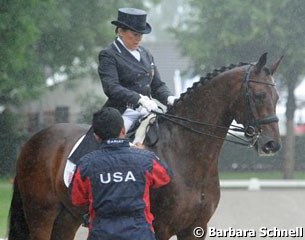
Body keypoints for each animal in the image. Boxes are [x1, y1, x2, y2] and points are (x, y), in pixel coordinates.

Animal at [8, 53, 282, 240]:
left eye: (278, 97)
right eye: (258, 96)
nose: (272, 144)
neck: (185, 153)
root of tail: (33, 140)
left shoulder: (196, 228)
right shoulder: (160, 227)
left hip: (67, 217)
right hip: (41, 214)